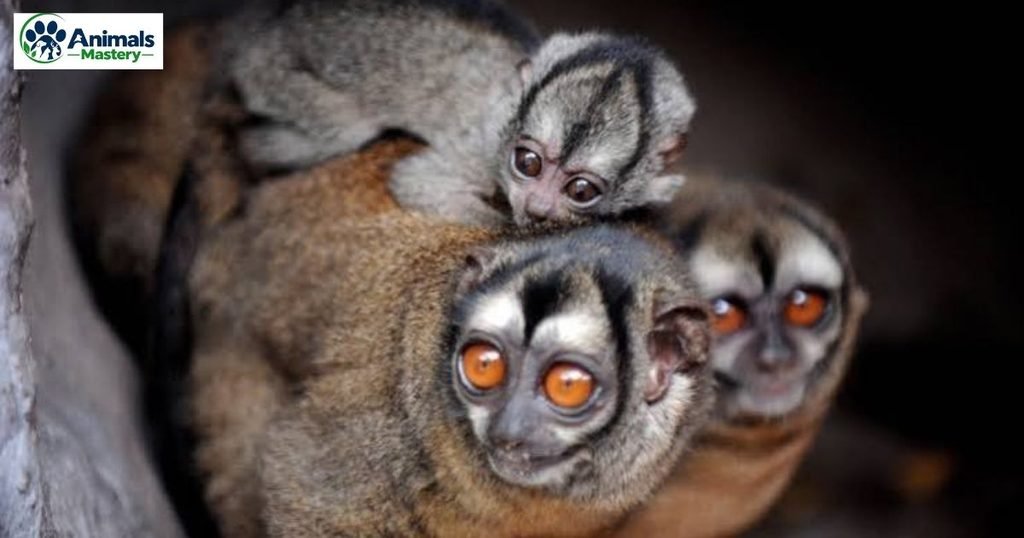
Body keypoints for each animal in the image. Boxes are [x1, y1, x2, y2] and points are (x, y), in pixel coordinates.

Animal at [219, 0, 696, 226]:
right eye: (528, 163)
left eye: (580, 190)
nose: (538, 208)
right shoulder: (479, 152)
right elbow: (414, 182)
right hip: (266, 69)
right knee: (345, 133)